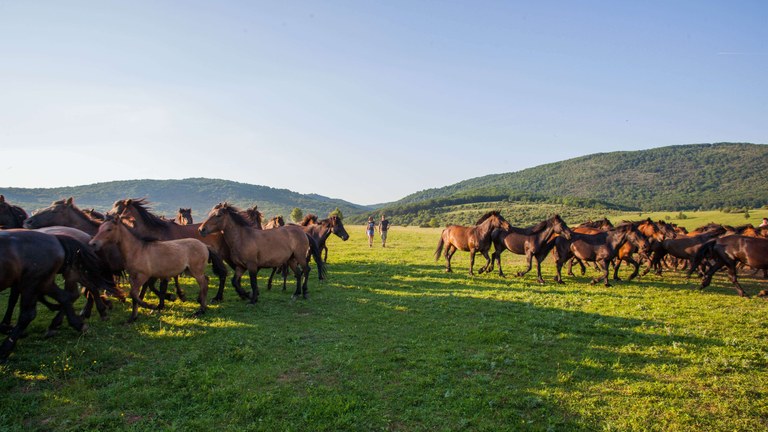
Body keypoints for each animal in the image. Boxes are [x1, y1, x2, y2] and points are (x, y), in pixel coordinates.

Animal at [0, 230, 90, 362]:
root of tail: (55, 238)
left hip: (32, 282)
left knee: (27, 314)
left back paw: (4, 349)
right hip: (42, 282)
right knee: (65, 296)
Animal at [196, 203, 326, 302]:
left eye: (218, 215)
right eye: (210, 214)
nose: (201, 229)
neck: (242, 237)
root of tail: (303, 233)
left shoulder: (252, 266)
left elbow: (253, 282)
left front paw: (253, 299)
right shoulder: (240, 267)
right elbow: (235, 282)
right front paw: (246, 294)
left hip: (300, 257)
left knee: (306, 270)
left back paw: (304, 292)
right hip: (291, 260)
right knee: (298, 273)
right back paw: (296, 294)